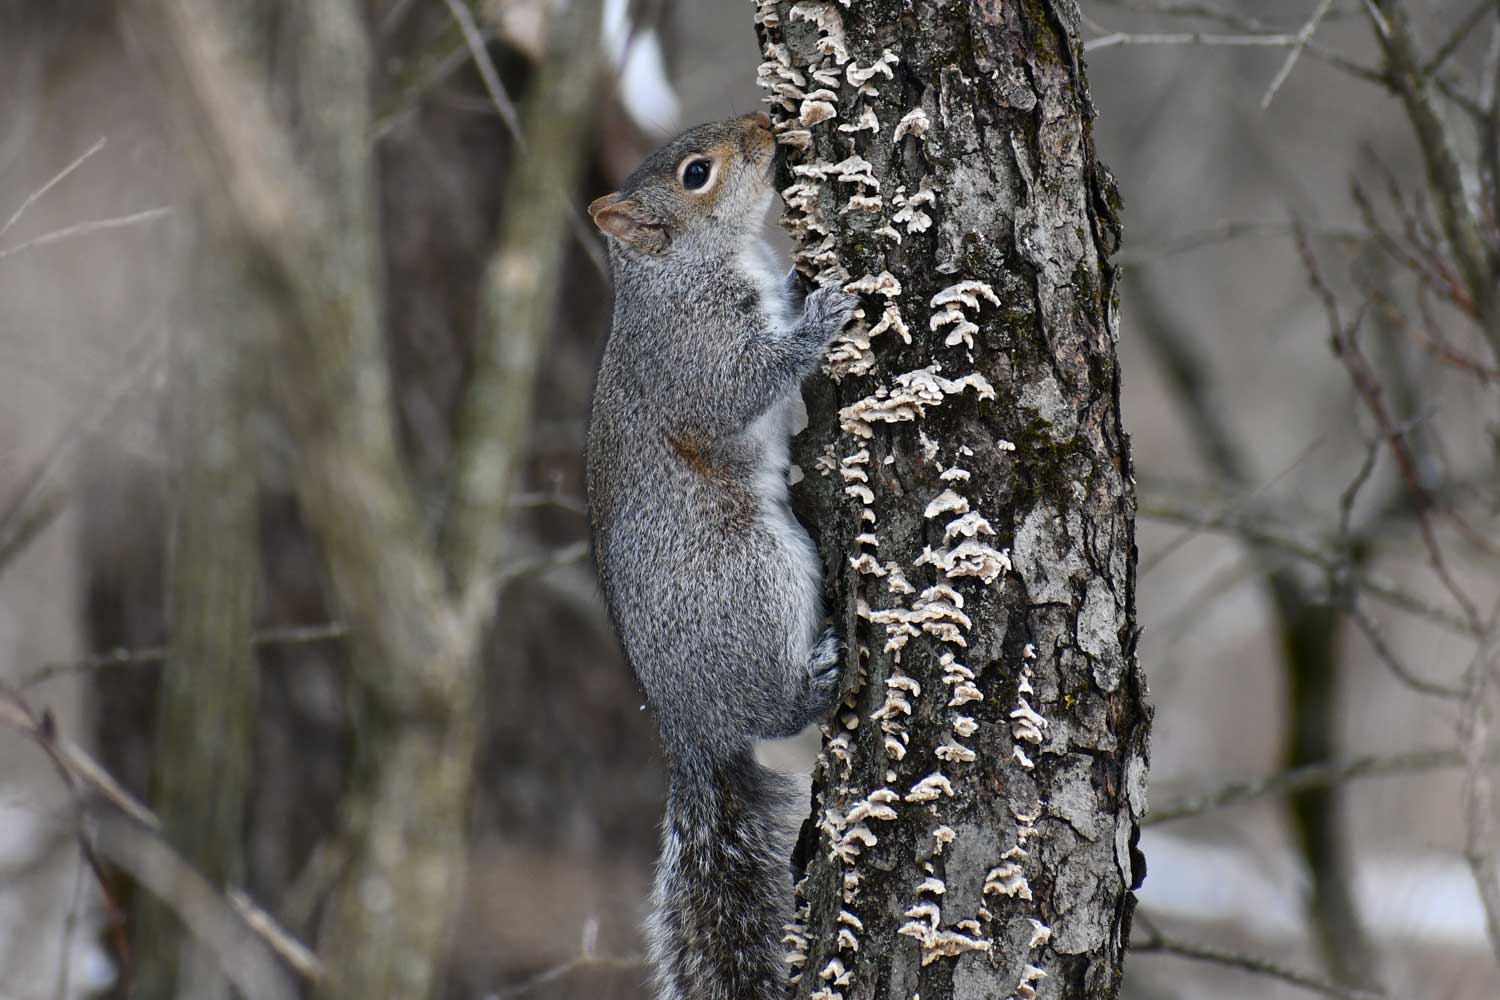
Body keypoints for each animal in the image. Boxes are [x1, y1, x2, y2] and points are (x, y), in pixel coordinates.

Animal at [582, 113, 858, 995]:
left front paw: (804, 282)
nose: (768, 124)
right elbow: (739, 386)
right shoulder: (695, 350)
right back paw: (818, 679)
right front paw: (822, 314)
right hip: (751, 578)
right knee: (776, 709)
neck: (678, 270)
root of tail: (692, 730)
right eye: (697, 174)